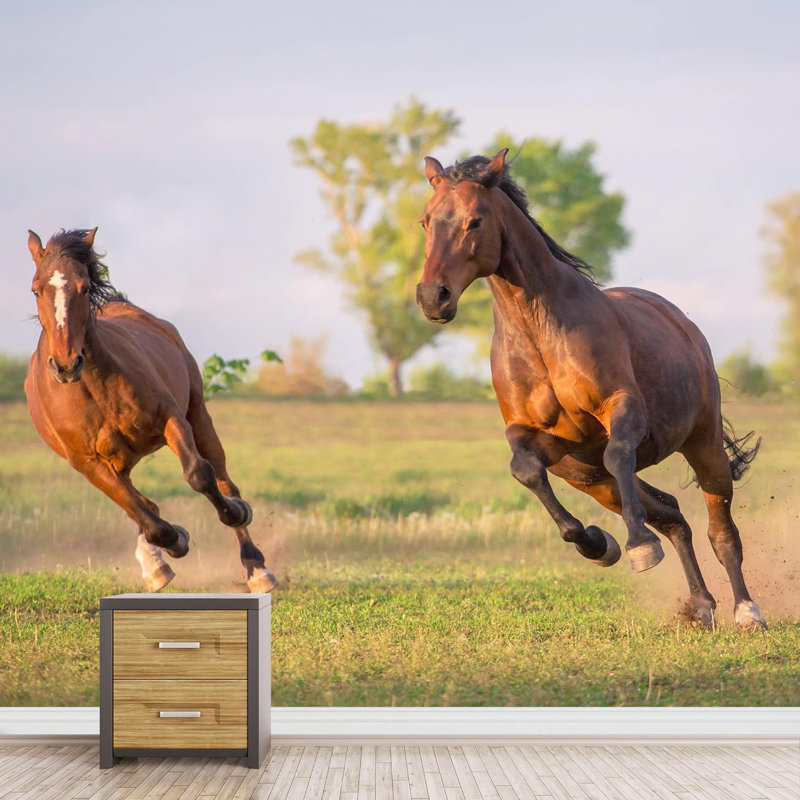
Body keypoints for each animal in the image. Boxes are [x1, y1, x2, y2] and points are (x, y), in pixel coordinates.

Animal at [25, 228, 277, 594]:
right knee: (143, 507)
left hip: (199, 417)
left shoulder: (171, 420)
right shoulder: (87, 464)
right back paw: (155, 564)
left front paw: (234, 516)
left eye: (83, 287)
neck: (95, 390)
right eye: (36, 289)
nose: (66, 364)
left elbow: (199, 475)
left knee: (222, 478)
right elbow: (144, 516)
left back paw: (256, 566)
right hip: (119, 463)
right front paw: (176, 542)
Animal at [416, 149, 766, 631]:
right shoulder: (540, 439)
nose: (433, 297)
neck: (541, 333)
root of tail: (682, 323)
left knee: (721, 531)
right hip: (591, 479)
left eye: (475, 221)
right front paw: (599, 545)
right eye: (426, 221)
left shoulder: (621, 409)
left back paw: (747, 611)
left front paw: (638, 548)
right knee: (672, 514)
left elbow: (618, 453)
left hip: (703, 443)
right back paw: (699, 605)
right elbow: (525, 470)